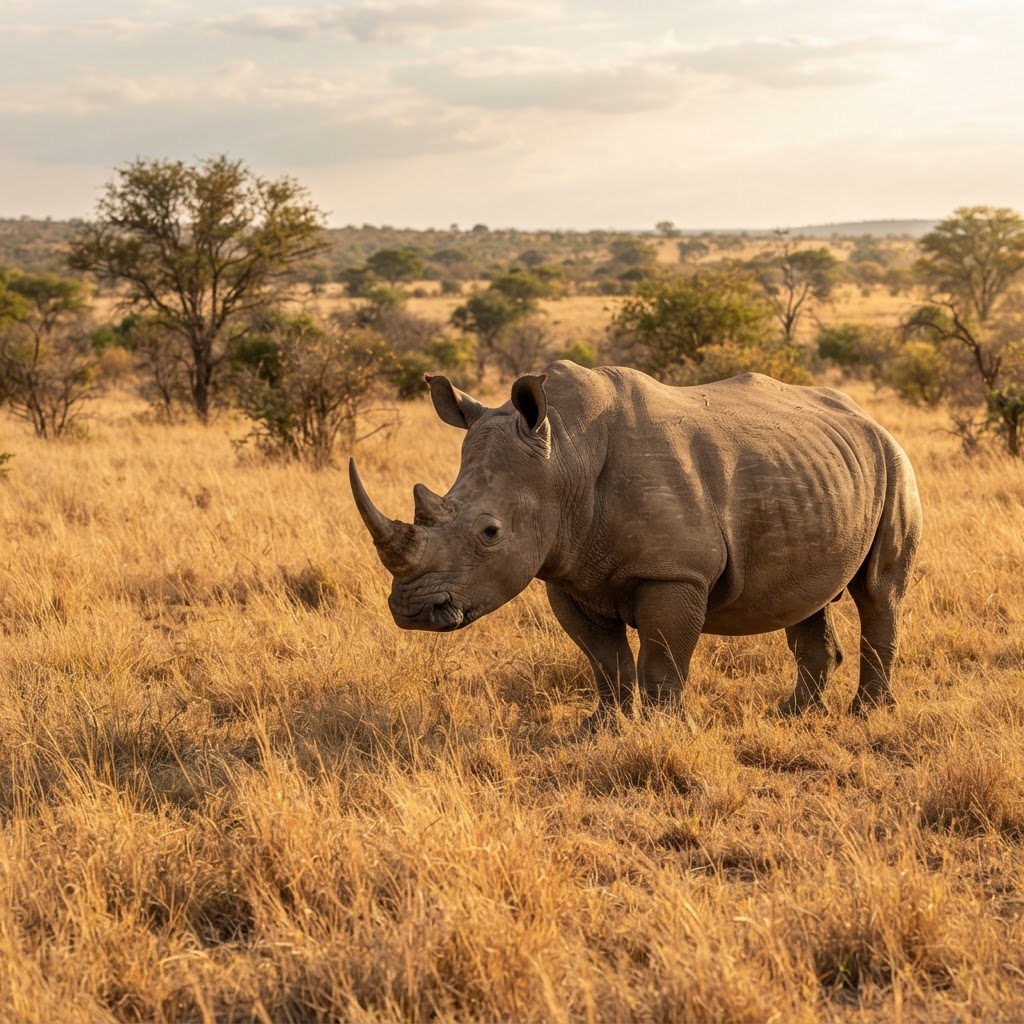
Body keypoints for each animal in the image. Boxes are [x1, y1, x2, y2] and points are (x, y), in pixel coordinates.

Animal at [350, 361, 921, 721]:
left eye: (490, 533)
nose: (412, 611)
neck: (564, 457)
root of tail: (868, 417)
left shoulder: (675, 572)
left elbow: (663, 660)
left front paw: (665, 729)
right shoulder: (569, 571)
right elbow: (605, 660)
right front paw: (603, 727)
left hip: (895, 463)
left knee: (879, 592)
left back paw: (867, 715)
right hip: (815, 473)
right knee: (805, 597)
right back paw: (794, 716)